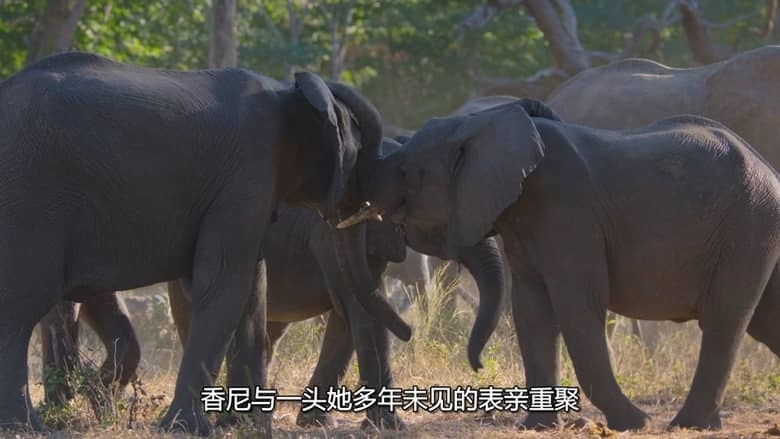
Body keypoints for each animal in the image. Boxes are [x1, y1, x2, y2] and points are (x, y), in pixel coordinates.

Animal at [0, 51, 409, 435]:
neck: (291, 91)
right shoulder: (247, 172)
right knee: (23, 304)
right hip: (31, 196)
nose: (409, 332)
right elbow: (225, 282)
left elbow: (251, 290)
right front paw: (187, 427)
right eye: (363, 155)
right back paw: (28, 425)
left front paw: (246, 427)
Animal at [342, 98, 780, 431]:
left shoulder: (568, 212)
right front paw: (536, 427)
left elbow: (577, 307)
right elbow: (532, 310)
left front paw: (632, 424)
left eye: (406, 172)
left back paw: (686, 425)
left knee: (725, 319)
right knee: (763, 318)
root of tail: (767, 166)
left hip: (747, 225)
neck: (481, 123)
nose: (478, 367)